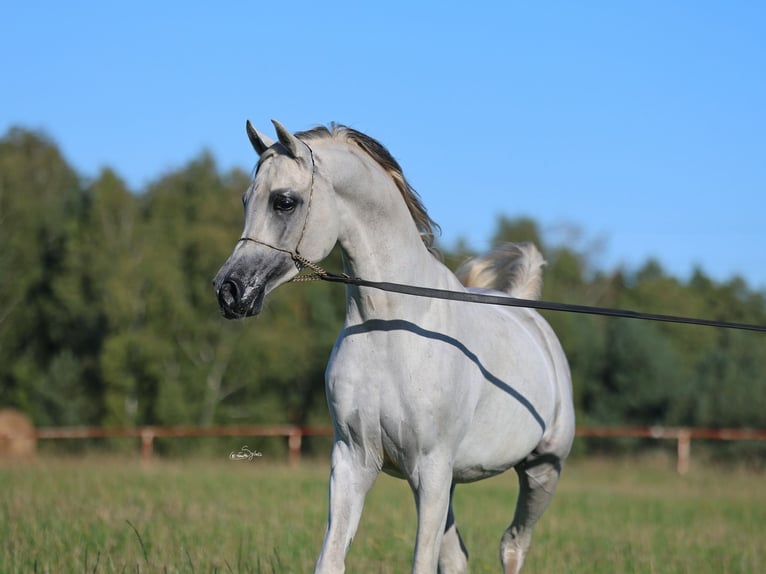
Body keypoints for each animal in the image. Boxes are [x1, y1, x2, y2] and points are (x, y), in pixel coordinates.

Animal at [213, 120, 575, 574]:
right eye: (247, 199)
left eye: (284, 202)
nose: (229, 291)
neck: (390, 329)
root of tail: (527, 310)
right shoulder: (353, 461)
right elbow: (331, 559)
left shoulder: (431, 469)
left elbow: (422, 561)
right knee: (458, 557)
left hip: (542, 470)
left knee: (512, 545)